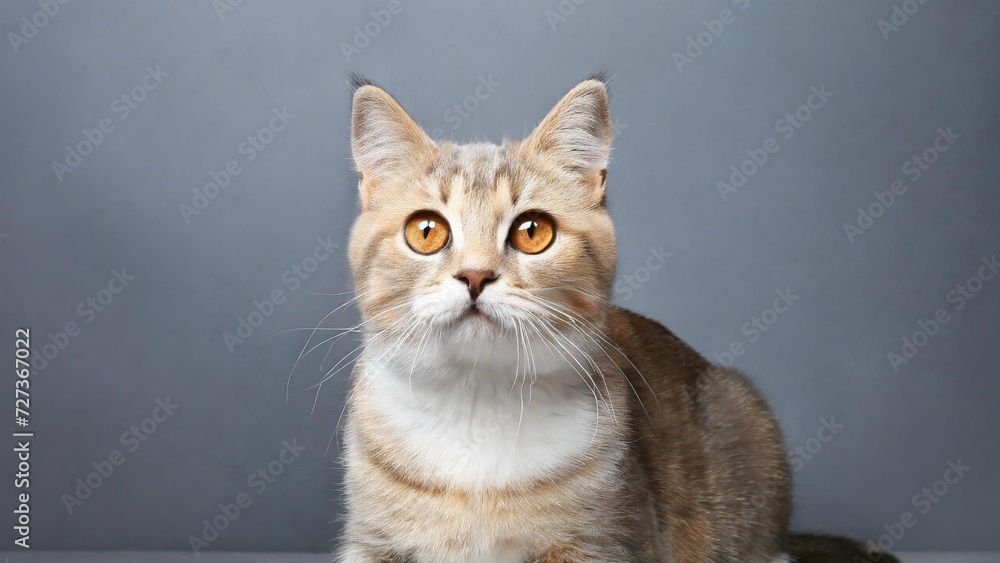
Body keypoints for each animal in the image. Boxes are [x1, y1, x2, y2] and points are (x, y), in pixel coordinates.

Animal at [336, 75, 900, 563]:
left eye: (532, 231)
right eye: (426, 231)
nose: (475, 275)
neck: (477, 399)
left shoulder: (602, 542)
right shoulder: (372, 543)